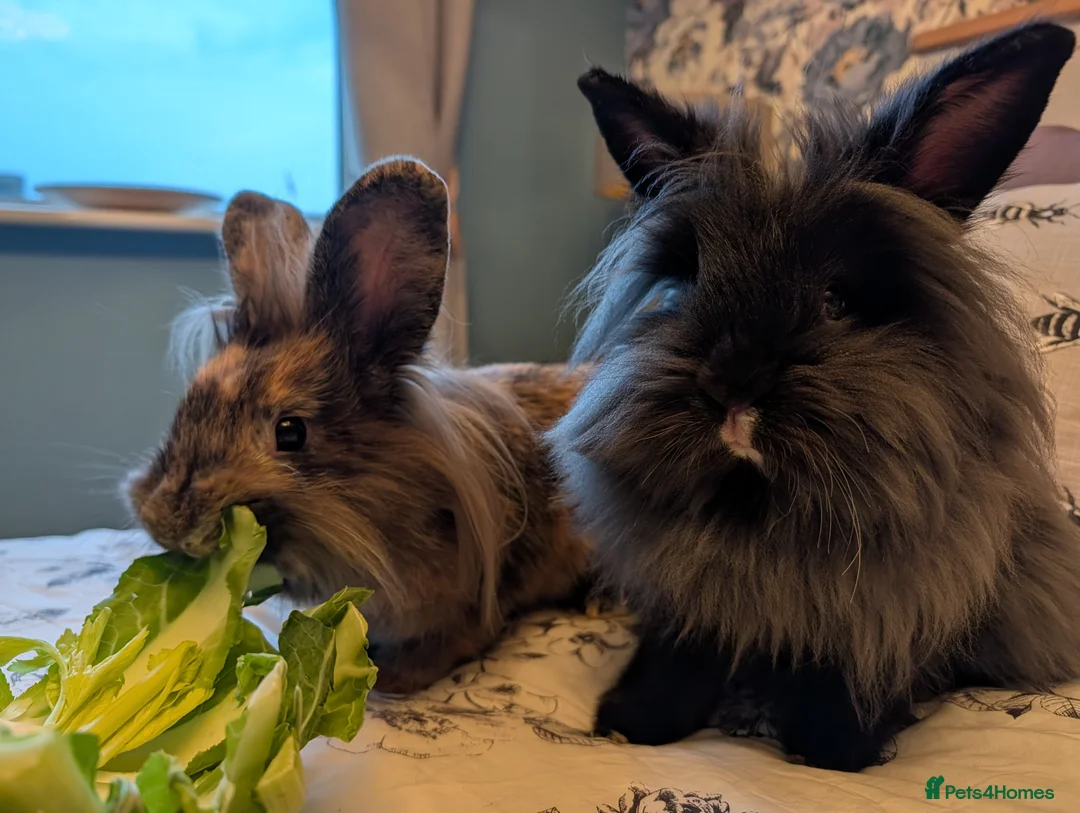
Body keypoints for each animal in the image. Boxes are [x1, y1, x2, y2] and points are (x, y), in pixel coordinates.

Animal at [548, 22, 1080, 772]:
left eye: (836, 300)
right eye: (688, 285)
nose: (733, 379)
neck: (763, 509)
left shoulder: (881, 615)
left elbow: (842, 690)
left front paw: (835, 753)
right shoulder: (689, 602)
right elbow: (676, 663)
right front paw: (629, 723)